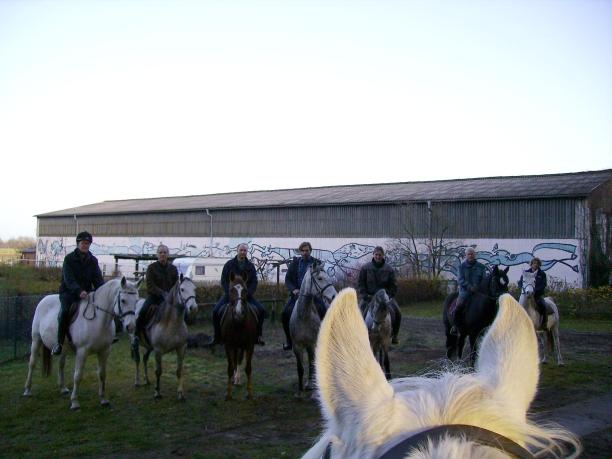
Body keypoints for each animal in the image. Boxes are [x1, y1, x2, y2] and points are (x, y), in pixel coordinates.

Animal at [22, 276, 141, 410]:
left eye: (136, 301)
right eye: (123, 300)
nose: (131, 327)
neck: (99, 319)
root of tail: (44, 299)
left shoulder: (104, 351)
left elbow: (102, 374)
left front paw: (103, 399)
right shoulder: (82, 351)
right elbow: (78, 376)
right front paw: (74, 402)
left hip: (63, 348)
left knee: (61, 365)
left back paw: (63, 388)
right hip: (36, 340)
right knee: (32, 363)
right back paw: (27, 390)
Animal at [290, 262, 338, 398]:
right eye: (320, 278)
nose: (334, 296)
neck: (303, 316)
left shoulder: (312, 344)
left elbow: (312, 363)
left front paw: (313, 389)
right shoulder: (297, 346)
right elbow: (300, 368)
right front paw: (299, 391)